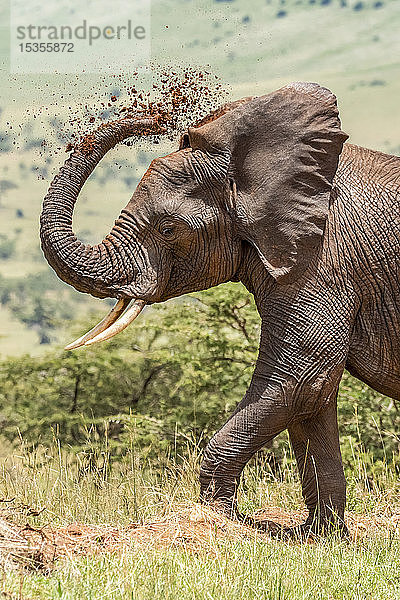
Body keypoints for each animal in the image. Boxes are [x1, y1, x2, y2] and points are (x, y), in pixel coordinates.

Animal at [39, 82, 400, 536]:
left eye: (168, 228)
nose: (157, 116)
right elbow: (314, 396)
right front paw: (318, 536)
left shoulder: (323, 261)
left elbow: (298, 380)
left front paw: (223, 519)